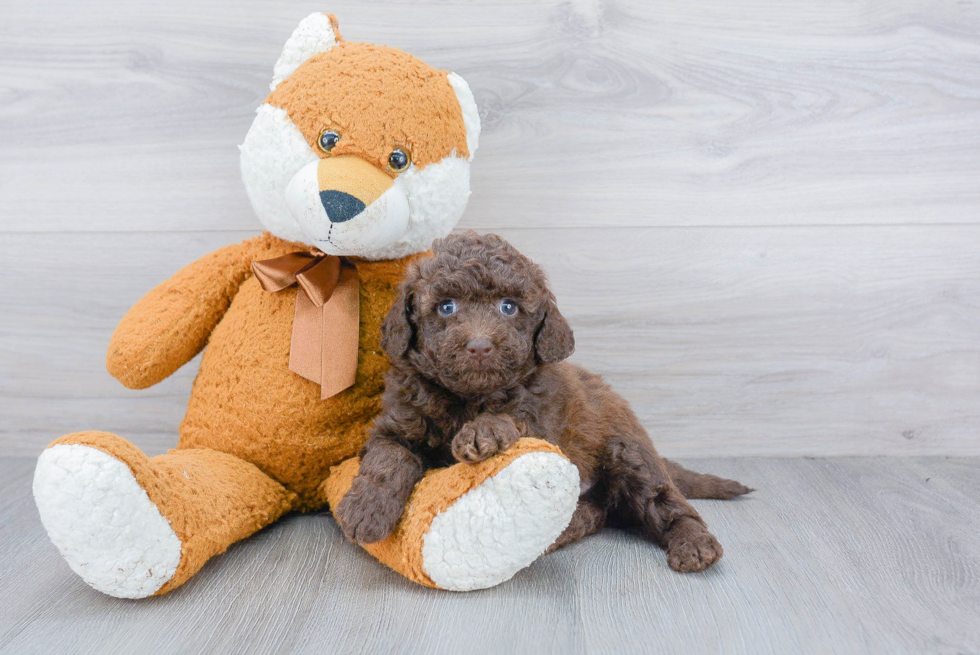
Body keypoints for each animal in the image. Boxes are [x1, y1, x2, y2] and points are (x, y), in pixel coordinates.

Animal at [334, 233, 756, 572]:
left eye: (508, 307)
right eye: (446, 306)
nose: (480, 346)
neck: (467, 398)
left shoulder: (540, 419)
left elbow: (512, 418)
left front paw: (484, 431)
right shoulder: (396, 424)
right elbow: (388, 458)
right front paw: (365, 510)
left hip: (628, 451)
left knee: (666, 502)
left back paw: (694, 543)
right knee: (597, 512)